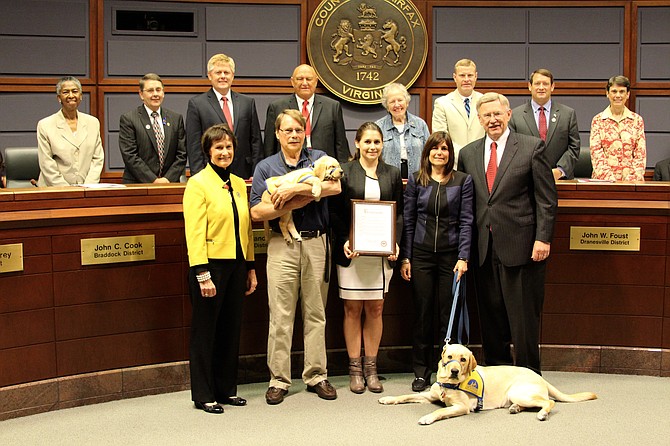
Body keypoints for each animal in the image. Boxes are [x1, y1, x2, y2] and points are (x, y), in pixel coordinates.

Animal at [378, 344, 600, 424]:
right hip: (517, 395)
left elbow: (441, 410)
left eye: (463, 359)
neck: (449, 384)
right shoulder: (429, 395)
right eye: (449, 357)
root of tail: (540, 376)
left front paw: (427, 417)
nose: (454, 371)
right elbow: (406, 396)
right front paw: (388, 398)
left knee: (549, 402)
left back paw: (542, 414)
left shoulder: (462, 407)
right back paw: (515, 408)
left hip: (519, 392)